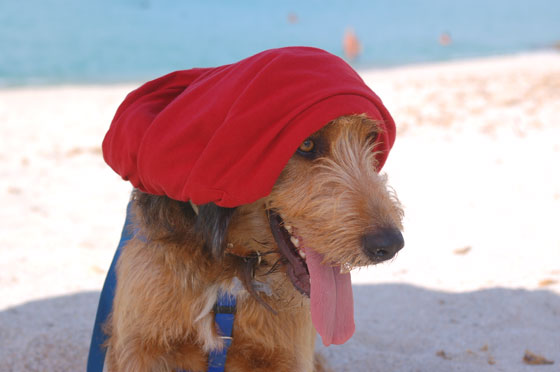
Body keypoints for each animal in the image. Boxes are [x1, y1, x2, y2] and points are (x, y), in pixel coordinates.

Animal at [104, 114, 402, 372]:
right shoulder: (138, 351)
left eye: (371, 139)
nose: (390, 245)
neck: (229, 267)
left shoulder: (289, 357)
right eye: (306, 144)